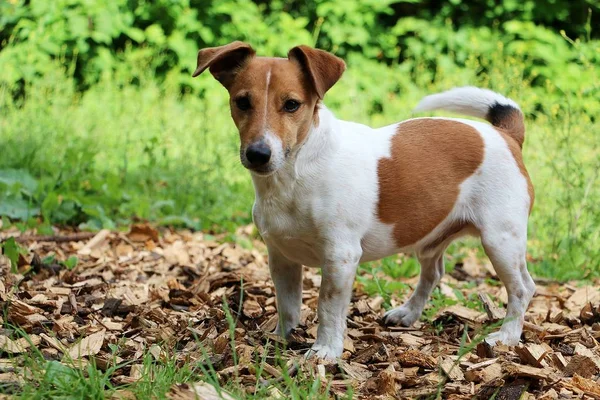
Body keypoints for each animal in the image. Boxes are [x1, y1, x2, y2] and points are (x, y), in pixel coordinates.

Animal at [192, 40, 536, 360]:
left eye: (291, 105)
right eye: (242, 102)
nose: (258, 154)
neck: (295, 173)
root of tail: (506, 135)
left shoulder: (340, 257)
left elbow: (328, 306)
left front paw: (325, 351)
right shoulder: (281, 256)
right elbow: (287, 304)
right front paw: (281, 338)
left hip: (500, 240)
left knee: (523, 288)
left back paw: (507, 336)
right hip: (432, 238)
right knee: (433, 273)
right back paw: (408, 313)